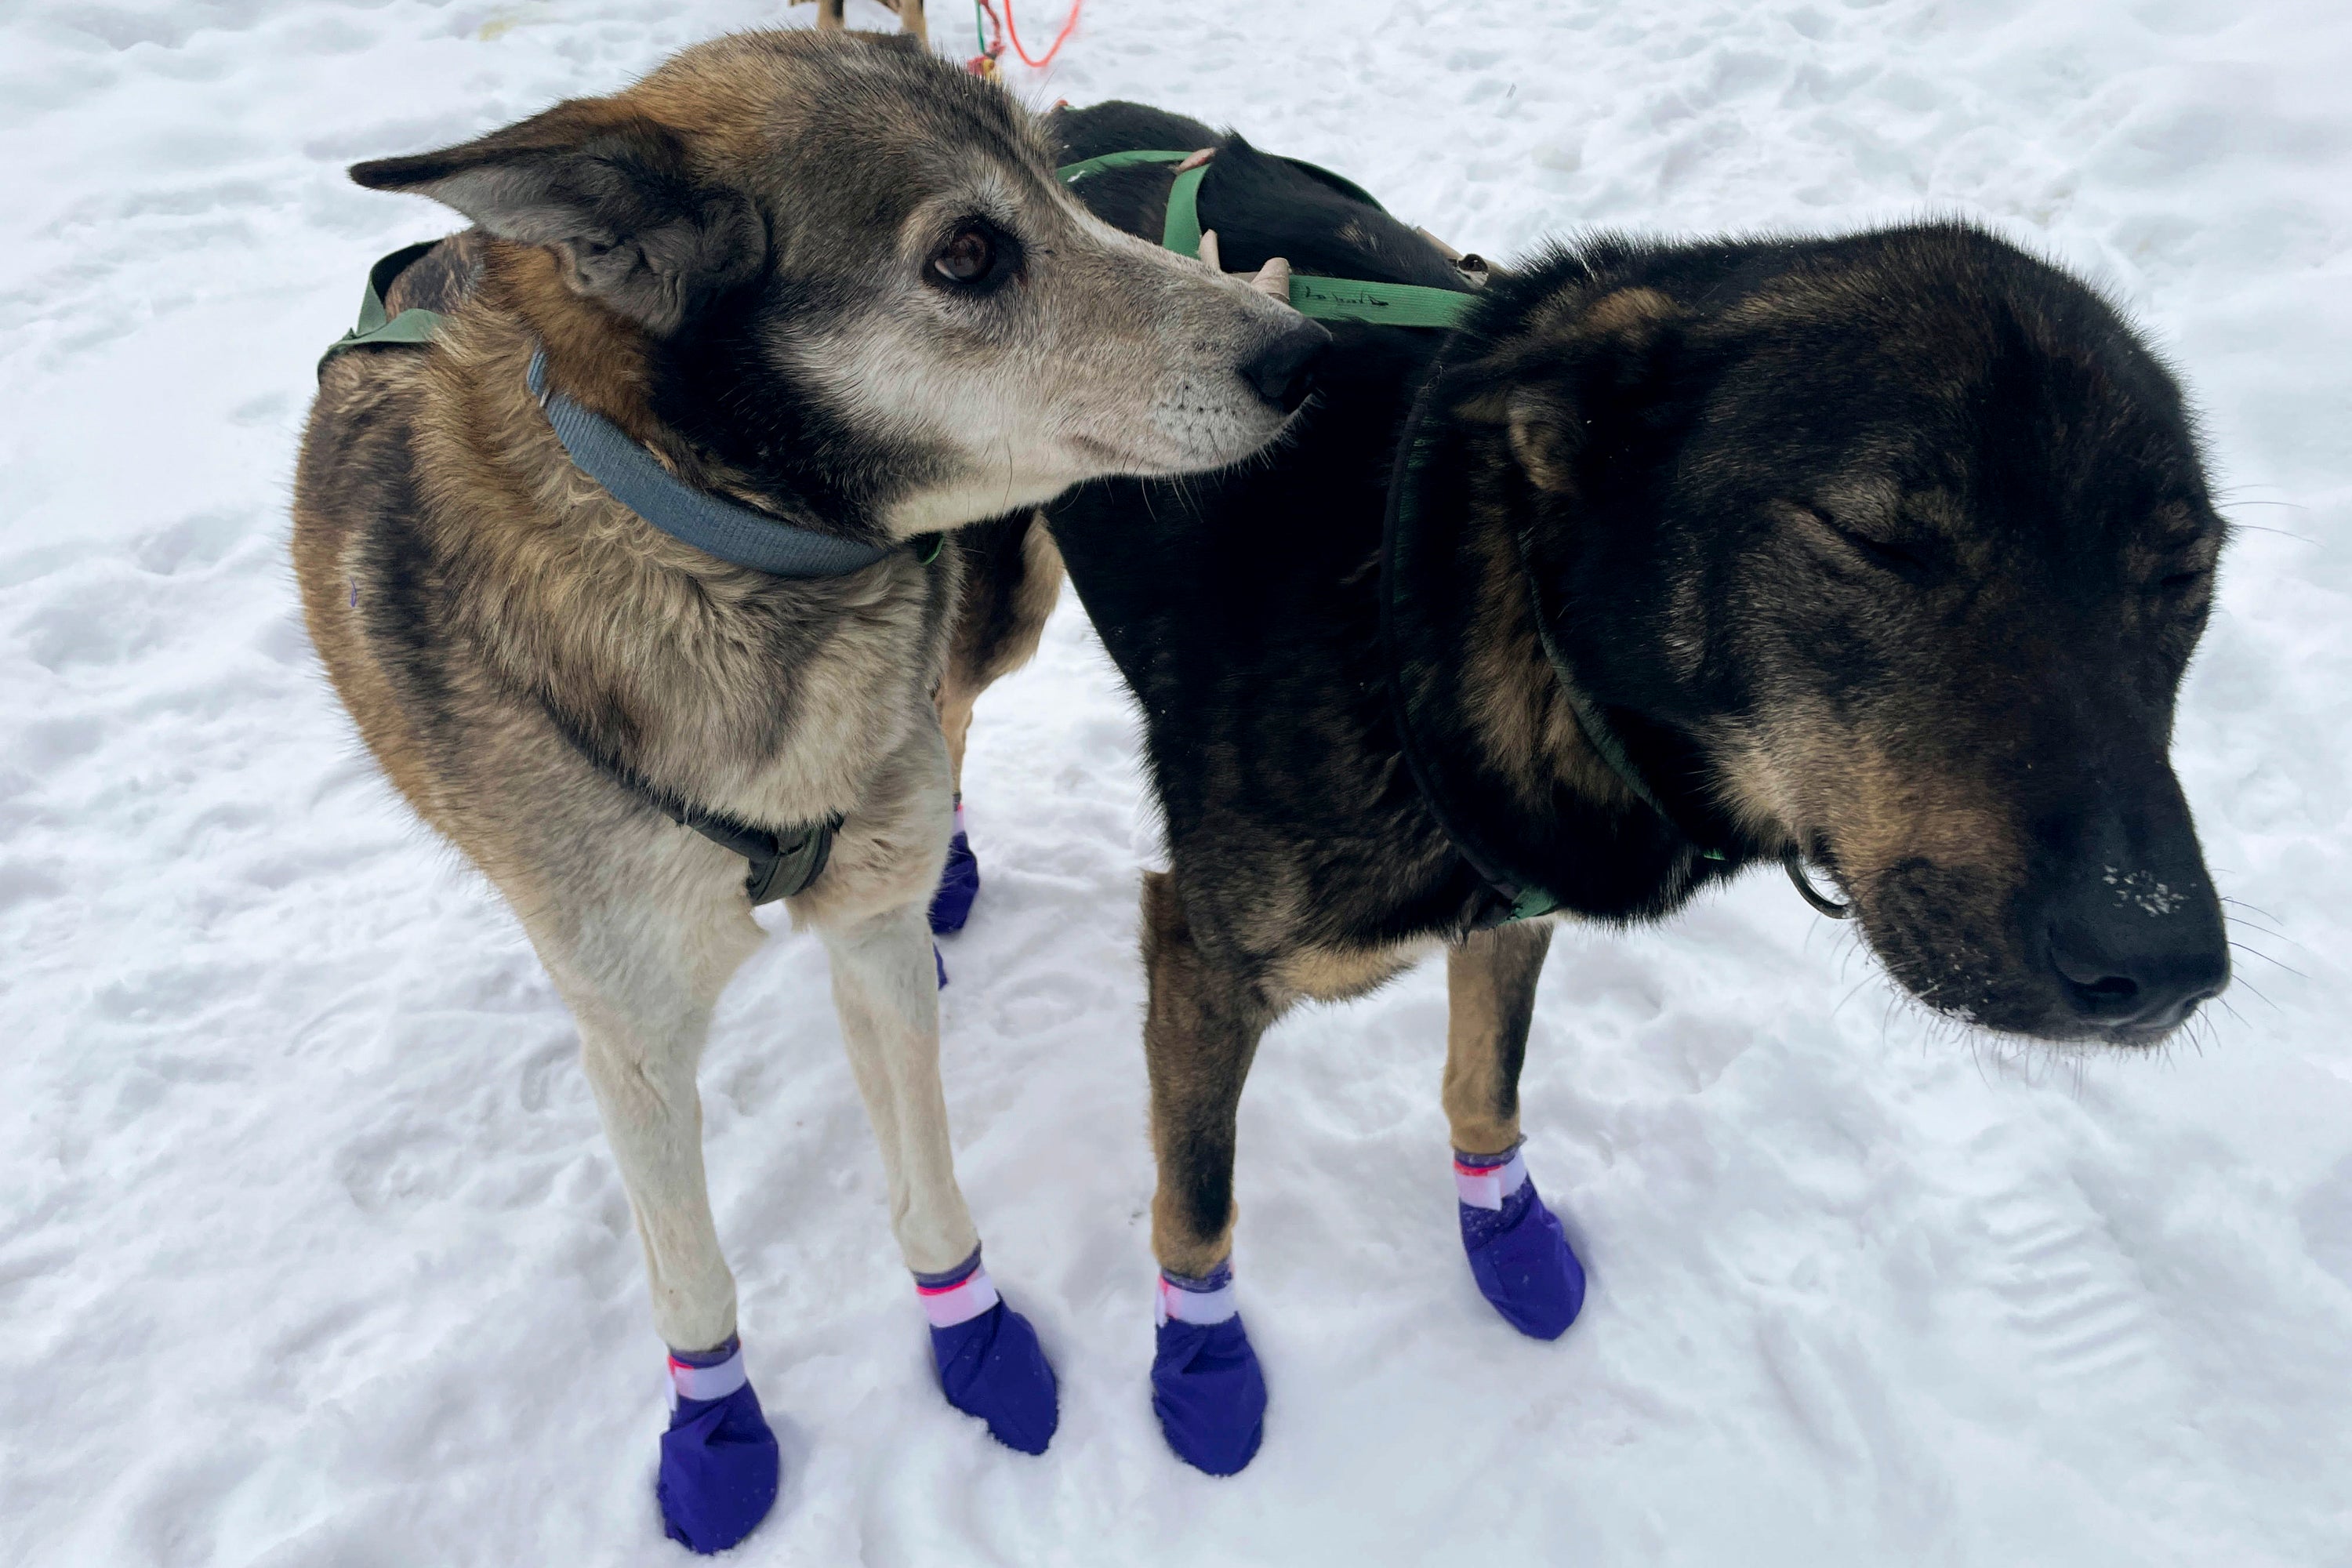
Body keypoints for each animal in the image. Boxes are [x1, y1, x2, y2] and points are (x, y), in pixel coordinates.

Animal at [1040, 100, 2230, 1486]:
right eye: (1875, 540)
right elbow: (1198, 1201)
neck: (1471, 610)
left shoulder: (1516, 911)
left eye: (2185, 574)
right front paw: (1202, 1364)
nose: (2159, 955)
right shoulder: (1203, 962)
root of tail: (1066, 124)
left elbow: (1486, 1085)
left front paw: (1507, 1235)